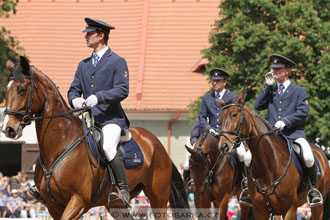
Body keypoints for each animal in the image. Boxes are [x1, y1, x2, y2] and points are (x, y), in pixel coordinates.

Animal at [1, 56, 191, 220]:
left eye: (22, 89)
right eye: (6, 90)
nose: (8, 129)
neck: (60, 145)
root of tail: (156, 144)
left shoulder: (78, 201)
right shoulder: (53, 206)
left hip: (158, 196)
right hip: (115, 206)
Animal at [217, 90, 330, 220]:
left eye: (234, 115)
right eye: (220, 119)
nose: (223, 146)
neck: (269, 164)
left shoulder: (290, 209)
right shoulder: (260, 210)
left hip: (318, 206)